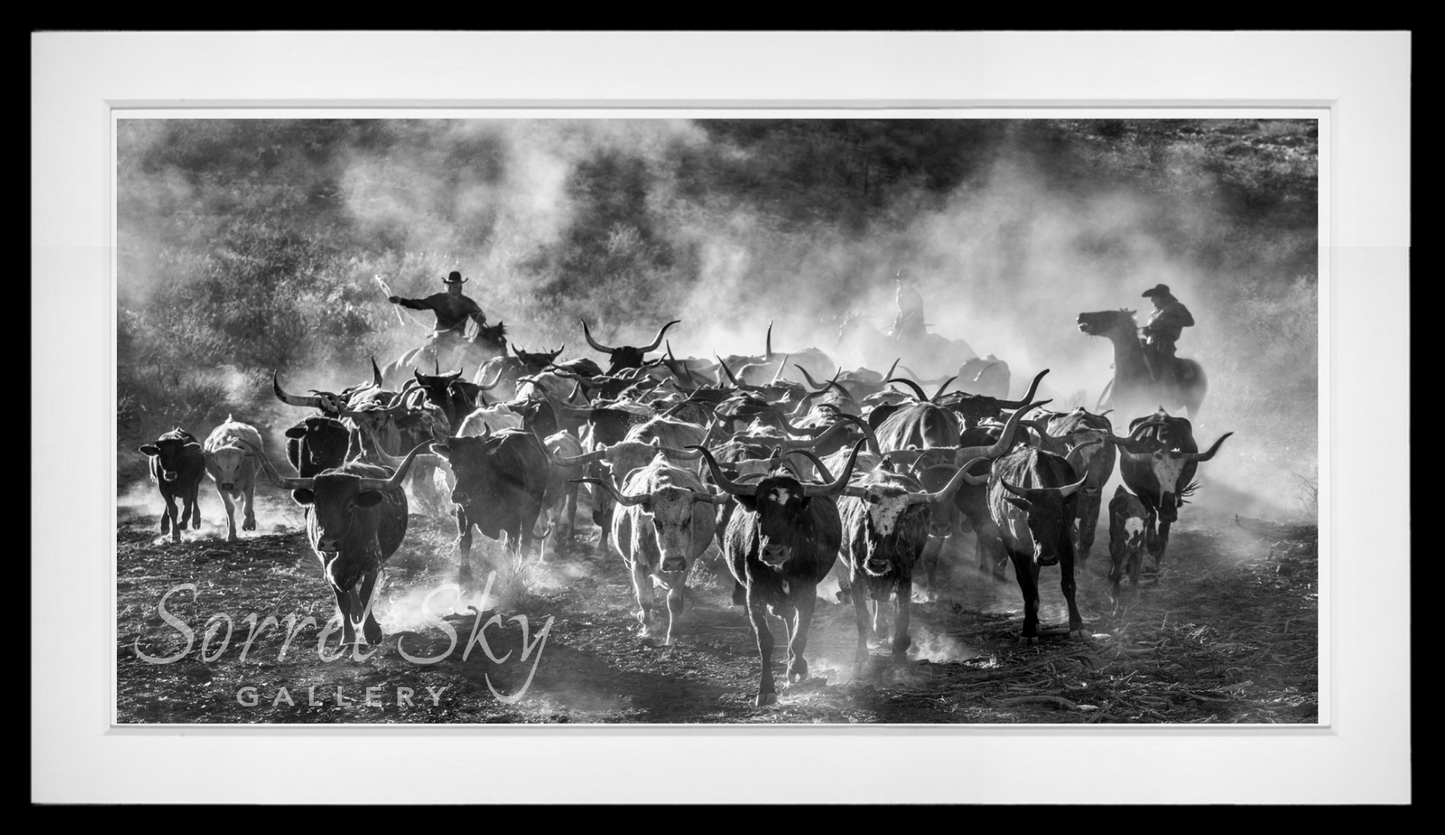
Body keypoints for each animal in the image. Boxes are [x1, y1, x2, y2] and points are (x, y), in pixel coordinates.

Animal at [200, 413, 262, 543]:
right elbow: (229, 508)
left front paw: (247, 524)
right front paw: (232, 534)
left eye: (237, 466)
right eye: (218, 466)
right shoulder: (220, 485)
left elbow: (247, 507)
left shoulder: (250, 482)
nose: (228, 485)